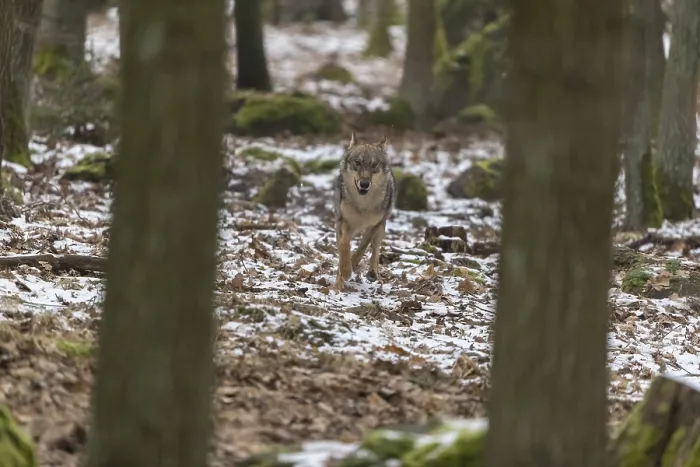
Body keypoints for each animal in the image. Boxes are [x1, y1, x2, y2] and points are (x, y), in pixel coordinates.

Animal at [333, 133, 396, 291]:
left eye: (374, 165)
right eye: (358, 163)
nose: (364, 184)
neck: (363, 205)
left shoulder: (373, 226)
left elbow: (362, 248)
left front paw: (352, 264)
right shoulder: (343, 222)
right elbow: (344, 246)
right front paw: (345, 270)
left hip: (381, 229)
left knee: (375, 252)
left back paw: (373, 273)